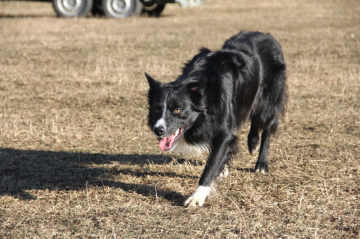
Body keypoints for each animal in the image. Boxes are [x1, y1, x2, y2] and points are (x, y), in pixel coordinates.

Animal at [145, 30, 286, 206]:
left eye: (178, 110)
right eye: (157, 109)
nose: (158, 130)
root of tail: (266, 35)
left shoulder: (223, 128)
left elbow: (211, 165)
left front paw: (196, 197)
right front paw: (222, 168)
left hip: (269, 100)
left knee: (266, 128)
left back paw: (261, 164)